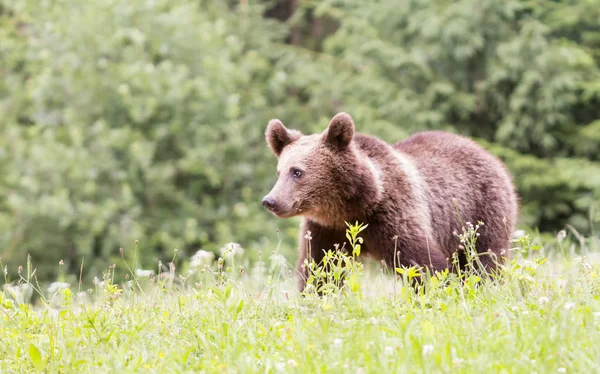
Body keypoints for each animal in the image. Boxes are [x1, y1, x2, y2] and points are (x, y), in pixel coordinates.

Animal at [264, 112, 520, 290]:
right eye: (279, 172)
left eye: (297, 172)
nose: (270, 200)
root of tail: (490, 155)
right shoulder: (326, 229)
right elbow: (320, 268)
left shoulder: (392, 214)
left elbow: (423, 264)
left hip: (480, 211)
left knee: (485, 259)